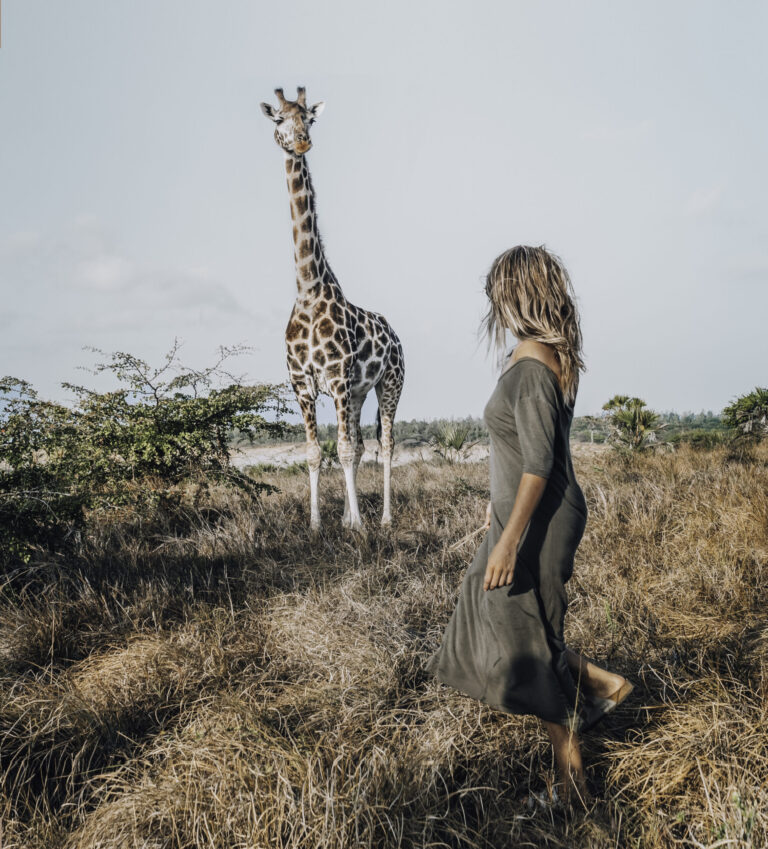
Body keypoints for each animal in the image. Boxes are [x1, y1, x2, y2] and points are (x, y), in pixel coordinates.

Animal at [260, 87, 405, 531]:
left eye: (309, 117)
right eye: (279, 120)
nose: (301, 141)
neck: (308, 290)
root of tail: (395, 335)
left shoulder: (338, 379)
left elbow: (340, 449)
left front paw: (357, 524)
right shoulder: (302, 383)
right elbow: (315, 451)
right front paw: (318, 523)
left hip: (389, 383)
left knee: (385, 443)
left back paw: (384, 518)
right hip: (358, 393)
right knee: (358, 445)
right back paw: (345, 515)